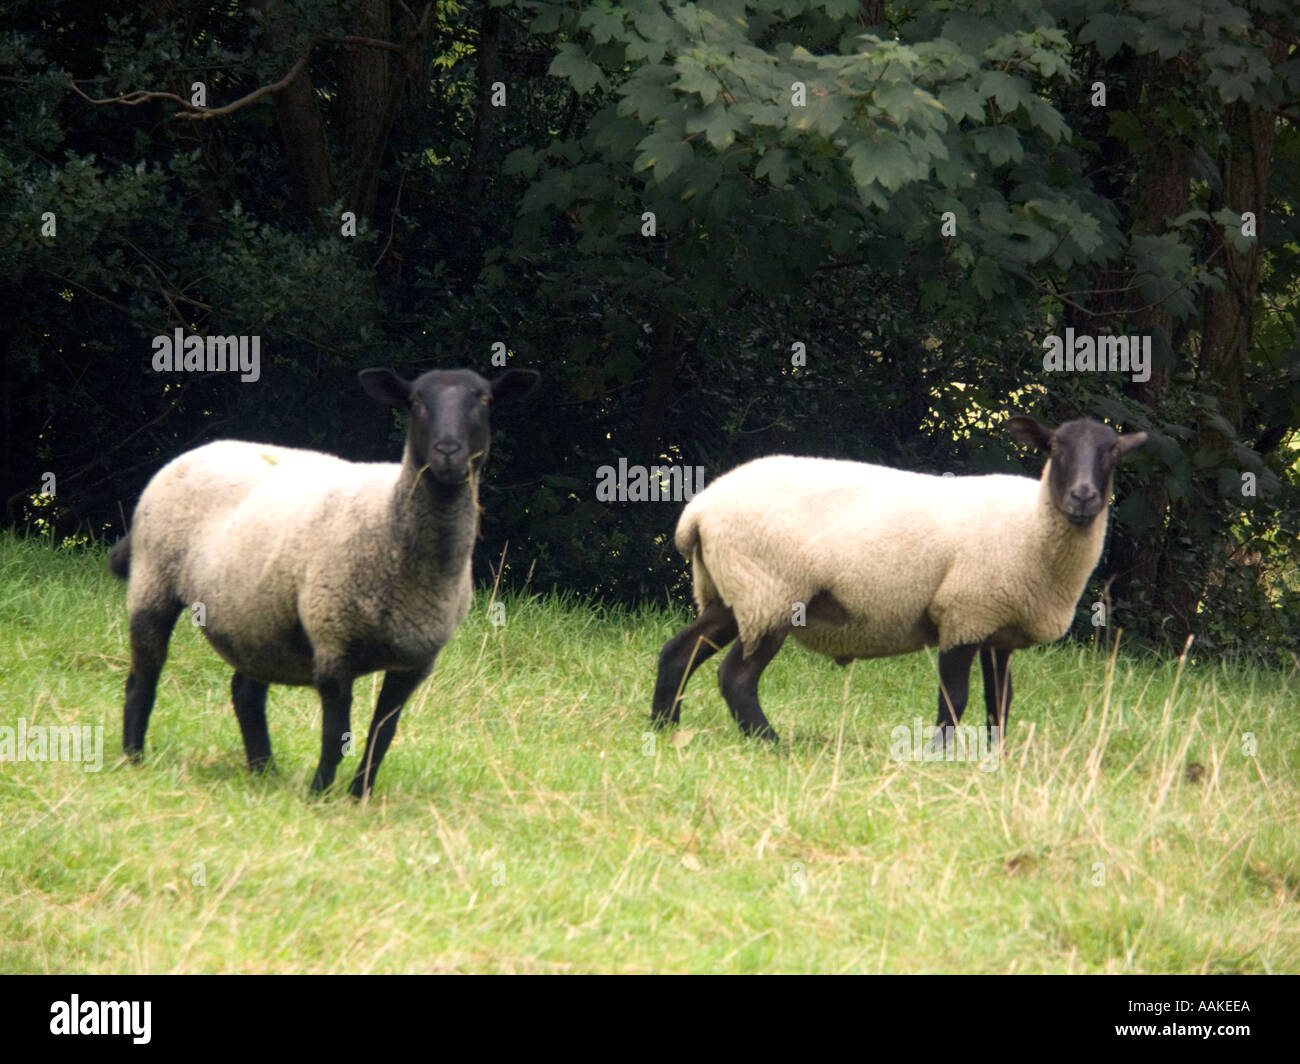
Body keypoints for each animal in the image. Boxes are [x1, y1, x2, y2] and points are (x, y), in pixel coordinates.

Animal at [109, 361, 540, 790]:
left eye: (485, 400)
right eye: (416, 402)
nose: (448, 451)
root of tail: (199, 450)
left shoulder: (415, 664)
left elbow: (382, 735)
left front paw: (360, 795)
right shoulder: (334, 643)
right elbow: (336, 734)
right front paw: (320, 793)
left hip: (254, 610)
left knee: (245, 692)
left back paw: (263, 771)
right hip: (153, 580)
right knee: (143, 678)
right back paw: (134, 757)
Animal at [650, 411, 1149, 744]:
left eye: (1113, 453)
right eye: (1055, 448)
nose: (1083, 497)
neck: (1031, 526)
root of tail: (699, 512)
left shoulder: (998, 629)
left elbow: (1000, 703)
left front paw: (997, 759)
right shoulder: (964, 613)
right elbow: (956, 699)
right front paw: (943, 757)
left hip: (731, 592)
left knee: (678, 652)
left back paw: (663, 728)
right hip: (770, 594)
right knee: (736, 677)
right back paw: (770, 743)